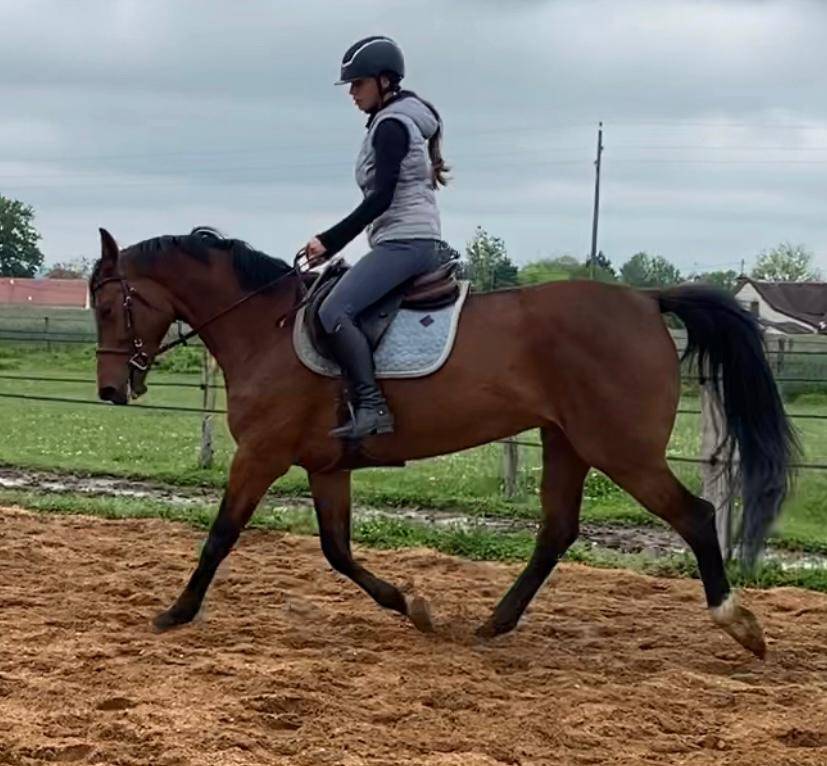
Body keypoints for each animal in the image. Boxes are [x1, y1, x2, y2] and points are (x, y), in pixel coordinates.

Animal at [89, 227, 796, 658]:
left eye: (105, 305)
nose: (110, 391)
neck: (266, 327)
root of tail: (648, 300)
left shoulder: (259, 456)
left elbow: (221, 536)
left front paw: (176, 612)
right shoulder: (326, 465)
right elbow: (337, 551)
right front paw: (412, 606)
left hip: (621, 451)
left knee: (695, 516)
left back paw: (739, 623)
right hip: (567, 442)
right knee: (557, 530)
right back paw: (494, 623)